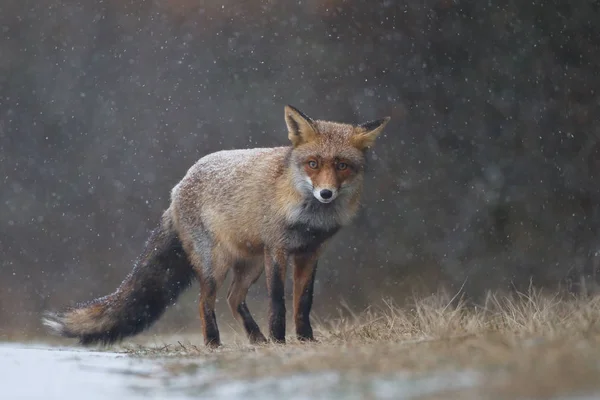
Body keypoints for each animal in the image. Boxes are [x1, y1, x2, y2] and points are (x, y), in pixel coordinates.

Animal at [42, 106, 390, 346]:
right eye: (313, 164)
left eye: (342, 166)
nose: (326, 193)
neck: (308, 217)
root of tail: (178, 187)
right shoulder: (277, 249)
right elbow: (278, 301)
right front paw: (280, 341)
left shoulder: (310, 252)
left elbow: (303, 302)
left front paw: (305, 341)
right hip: (216, 265)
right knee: (204, 302)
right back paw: (214, 343)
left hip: (250, 265)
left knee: (234, 299)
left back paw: (256, 340)